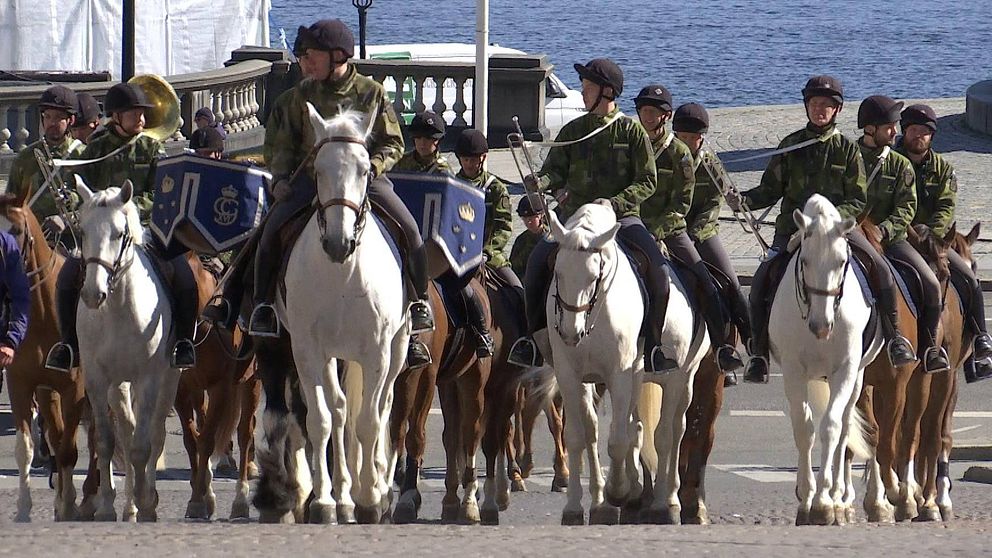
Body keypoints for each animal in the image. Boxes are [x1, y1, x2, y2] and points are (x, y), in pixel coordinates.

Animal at [0, 195, 97, 524]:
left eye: (16, 230)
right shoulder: (22, 384)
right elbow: (29, 448)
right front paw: (24, 510)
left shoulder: (74, 390)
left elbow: (69, 450)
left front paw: (68, 507)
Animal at [75, 179, 182, 524]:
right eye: (82, 230)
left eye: (119, 233)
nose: (93, 294)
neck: (118, 308)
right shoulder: (97, 380)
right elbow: (106, 441)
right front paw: (108, 506)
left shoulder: (148, 379)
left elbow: (142, 447)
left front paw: (146, 502)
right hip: (118, 386)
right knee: (127, 429)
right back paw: (129, 505)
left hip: (169, 379)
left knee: (155, 434)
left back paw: (146, 500)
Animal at [276, 104, 406, 524]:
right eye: (317, 170)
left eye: (365, 170)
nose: (338, 241)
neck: (342, 273)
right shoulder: (308, 350)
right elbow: (321, 420)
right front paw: (326, 501)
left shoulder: (377, 351)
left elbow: (369, 421)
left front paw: (370, 496)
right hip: (333, 354)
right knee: (340, 410)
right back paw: (344, 491)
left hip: (396, 349)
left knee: (380, 407)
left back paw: (377, 483)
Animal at [772, 195, 880, 528]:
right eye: (804, 260)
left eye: (842, 261)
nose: (821, 326)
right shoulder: (794, 371)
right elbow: (803, 428)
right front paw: (807, 497)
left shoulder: (845, 370)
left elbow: (831, 427)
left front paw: (823, 501)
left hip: (856, 378)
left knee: (844, 428)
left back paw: (839, 497)